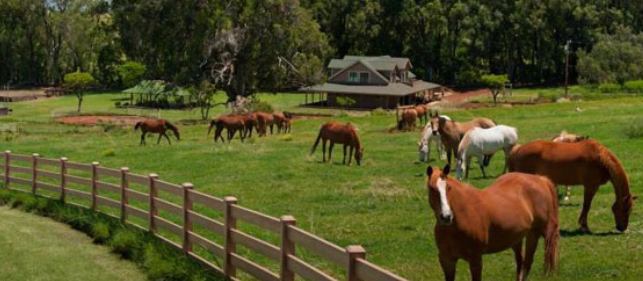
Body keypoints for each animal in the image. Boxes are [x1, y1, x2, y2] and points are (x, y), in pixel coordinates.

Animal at [428, 164, 560, 280]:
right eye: (431, 188)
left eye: (449, 188)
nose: (446, 216)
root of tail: (541, 179)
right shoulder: (447, 260)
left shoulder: (475, 260)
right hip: (517, 238)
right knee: (521, 263)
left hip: (538, 233)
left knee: (530, 262)